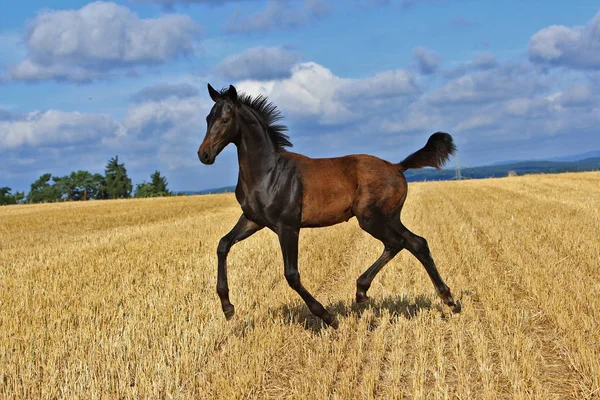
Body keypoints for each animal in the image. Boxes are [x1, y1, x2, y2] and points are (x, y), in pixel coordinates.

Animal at [199, 83, 462, 328]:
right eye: (208, 118)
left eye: (225, 119)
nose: (204, 155)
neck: (268, 172)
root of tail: (398, 167)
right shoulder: (253, 220)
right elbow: (223, 245)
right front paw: (227, 307)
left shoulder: (287, 226)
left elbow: (291, 274)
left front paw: (328, 317)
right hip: (389, 217)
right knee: (414, 243)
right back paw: (442, 299)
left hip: (372, 218)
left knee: (401, 242)